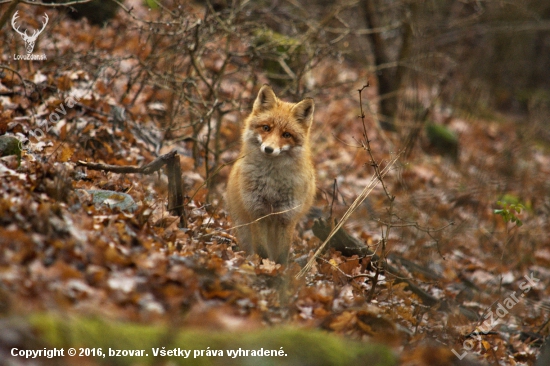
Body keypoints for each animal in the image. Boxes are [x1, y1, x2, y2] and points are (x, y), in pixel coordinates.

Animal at [226, 85, 316, 264]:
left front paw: (279, 270)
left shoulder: (286, 217)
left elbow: (281, 255)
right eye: (266, 128)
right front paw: (263, 267)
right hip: (244, 230)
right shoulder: (257, 212)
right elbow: (262, 251)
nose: (268, 149)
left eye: (286, 135)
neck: (271, 183)